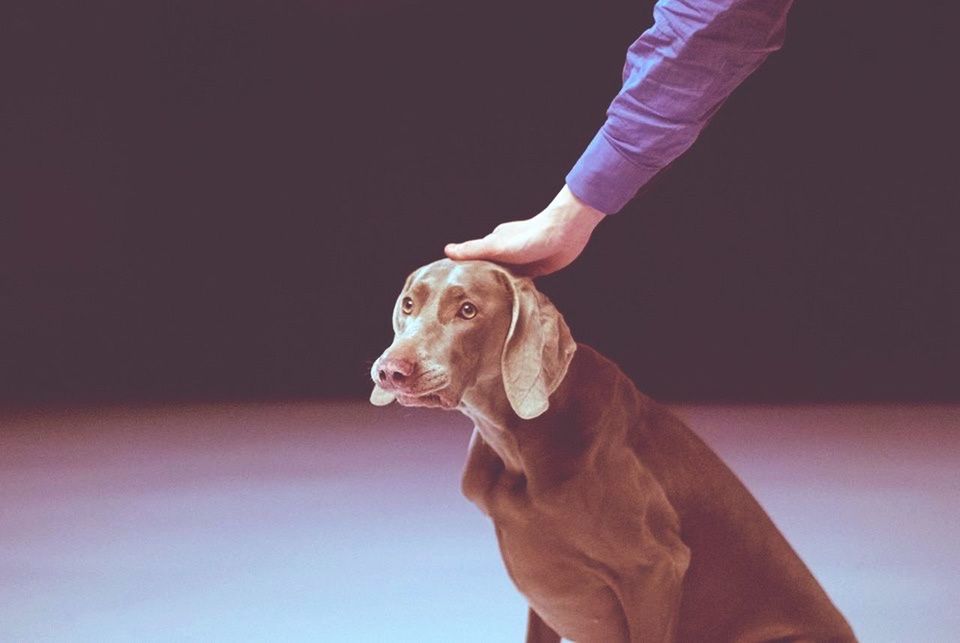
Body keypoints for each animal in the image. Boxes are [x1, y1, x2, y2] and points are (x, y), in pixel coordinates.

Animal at [368, 260, 856, 643]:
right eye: (409, 304)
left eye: (467, 309)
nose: (390, 370)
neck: (519, 444)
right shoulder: (545, 593)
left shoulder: (657, 569)